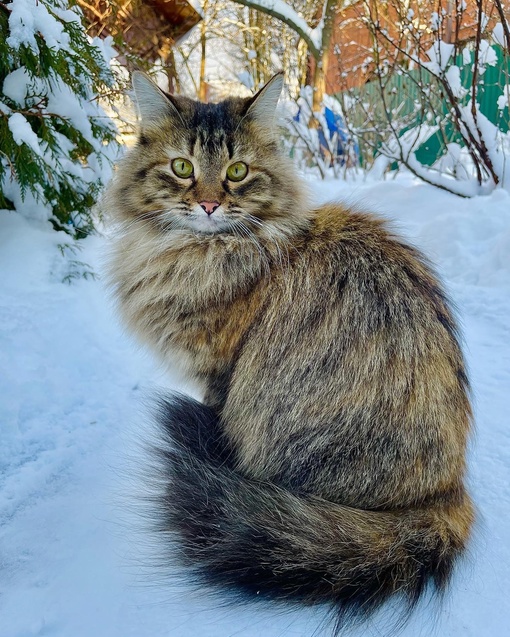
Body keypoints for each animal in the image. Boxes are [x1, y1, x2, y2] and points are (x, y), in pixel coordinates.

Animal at [106, 71, 474, 632]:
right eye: (182, 168)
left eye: (237, 172)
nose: (209, 204)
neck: (196, 253)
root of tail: (444, 491)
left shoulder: (219, 374)